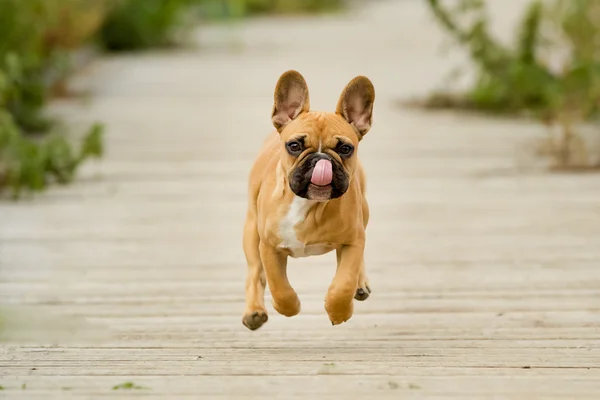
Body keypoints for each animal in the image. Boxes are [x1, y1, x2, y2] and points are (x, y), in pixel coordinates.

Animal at [240, 69, 372, 332]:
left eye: (345, 149)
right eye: (294, 145)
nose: (321, 160)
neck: (309, 206)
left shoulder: (353, 241)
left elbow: (344, 283)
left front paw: (339, 310)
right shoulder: (268, 246)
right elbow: (278, 285)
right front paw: (289, 307)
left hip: (364, 214)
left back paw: (360, 284)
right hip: (251, 233)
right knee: (255, 272)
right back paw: (254, 312)